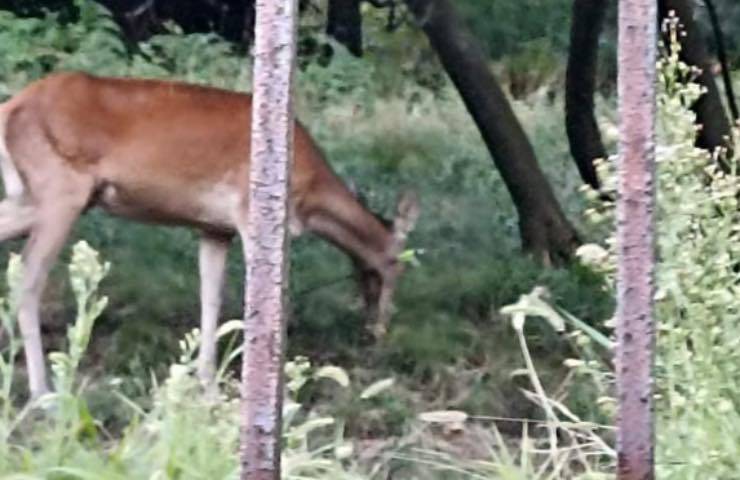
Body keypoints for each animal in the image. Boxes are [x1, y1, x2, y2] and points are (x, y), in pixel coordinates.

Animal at [0, 72, 419, 399]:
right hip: (61, 190)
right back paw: (42, 391)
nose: (380, 332)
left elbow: (211, 296)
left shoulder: (215, 227)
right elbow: (263, 295)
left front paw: (206, 381)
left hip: (34, 198)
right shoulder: (250, 212)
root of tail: (10, 108)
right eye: (397, 265)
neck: (310, 196)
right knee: (28, 278)